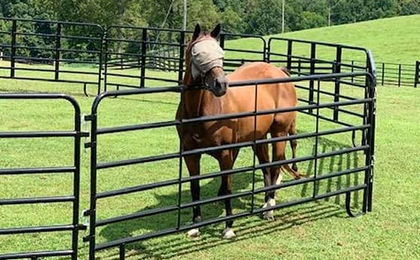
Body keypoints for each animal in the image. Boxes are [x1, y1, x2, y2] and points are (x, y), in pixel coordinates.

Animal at [175, 24, 302, 240]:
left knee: (276, 167)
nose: (221, 84)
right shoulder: (191, 154)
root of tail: (279, 71)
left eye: (220, 53)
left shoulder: (226, 154)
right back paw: (266, 202)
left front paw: (228, 227)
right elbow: (195, 190)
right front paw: (195, 226)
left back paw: (269, 208)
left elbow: (227, 188)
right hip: (259, 138)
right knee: (266, 167)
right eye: (198, 54)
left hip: (279, 133)